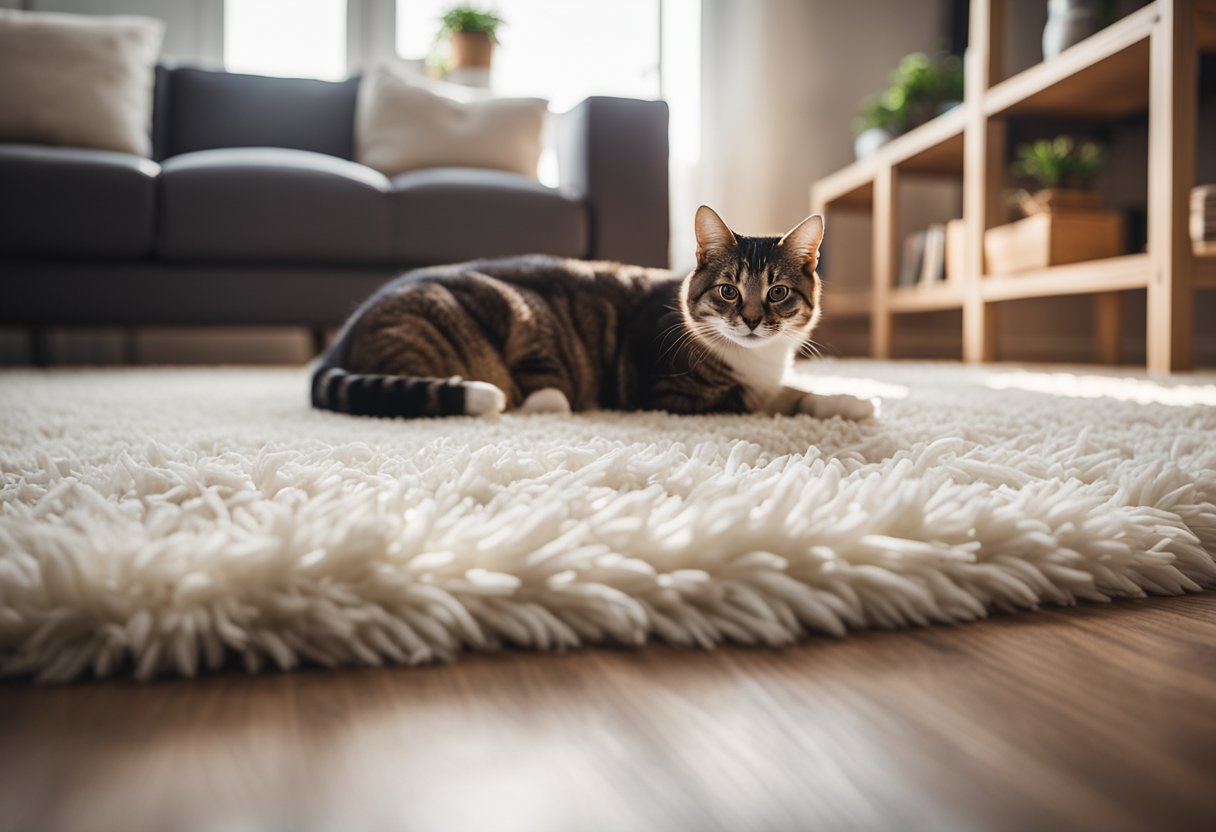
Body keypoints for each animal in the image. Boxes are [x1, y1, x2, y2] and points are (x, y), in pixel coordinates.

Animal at [313, 204, 875, 418]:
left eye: (777, 292)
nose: (754, 321)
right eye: (729, 292)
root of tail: (339, 341)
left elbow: (792, 389)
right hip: (506, 314)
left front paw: (849, 399)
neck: (758, 360)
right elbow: (765, 401)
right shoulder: (666, 391)